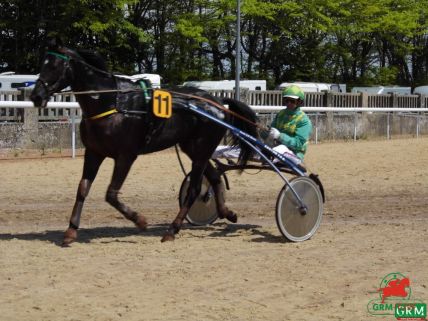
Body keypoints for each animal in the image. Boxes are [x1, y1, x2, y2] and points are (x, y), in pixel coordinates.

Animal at [30, 38, 258, 245]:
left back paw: (172, 230)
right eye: (42, 64)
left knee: (194, 189)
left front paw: (140, 220)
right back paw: (227, 212)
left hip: (201, 150)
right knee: (215, 178)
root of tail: (218, 102)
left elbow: (111, 194)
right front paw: (70, 231)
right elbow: (83, 188)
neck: (111, 103)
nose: (36, 96)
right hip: (194, 149)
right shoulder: (94, 152)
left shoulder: (126, 155)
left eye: (54, 66)